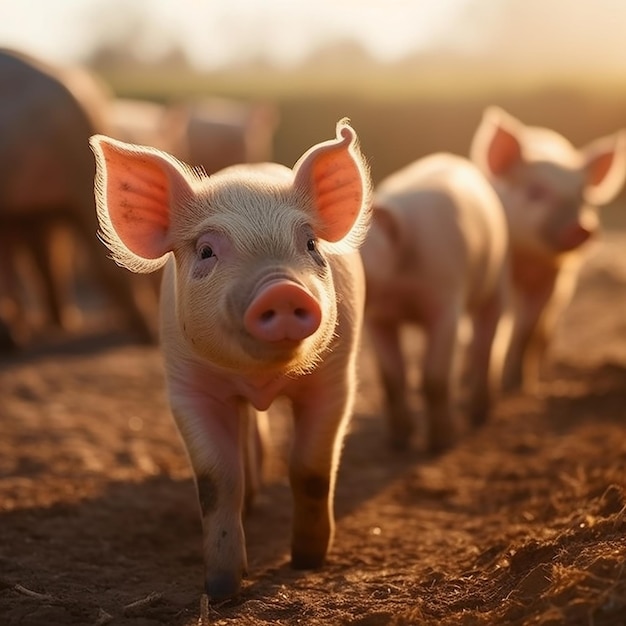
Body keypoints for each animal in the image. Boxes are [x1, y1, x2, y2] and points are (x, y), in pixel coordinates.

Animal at [88, 118, 370, 600]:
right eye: (206, 251)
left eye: (310, 244)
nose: (283, 289)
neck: (261, 379)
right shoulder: (187, 388)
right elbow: (217, 482)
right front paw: (221, 589)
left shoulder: (336, 380)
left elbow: (311, 470)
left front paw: (307, 562)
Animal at [360, 154, 508, 450]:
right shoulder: (378, 318)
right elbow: (391, 377)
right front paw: (398, 441)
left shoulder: (447, 303)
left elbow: (434, 377)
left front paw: (442, 443)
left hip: (496, 279)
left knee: (485, 343)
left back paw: (479, 415)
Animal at [468, 107, 624, 390]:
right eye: (535, 192)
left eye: (583, 197)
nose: (580, 227)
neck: (531, 258)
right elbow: (499, 325)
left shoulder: (555, 276)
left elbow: (527, 329)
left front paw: (519, 386)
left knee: (543, 330)